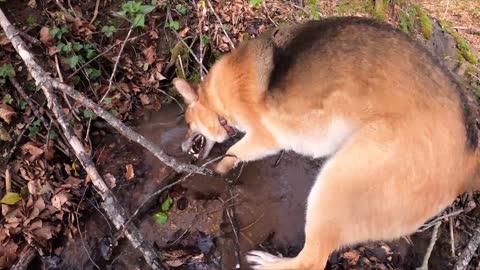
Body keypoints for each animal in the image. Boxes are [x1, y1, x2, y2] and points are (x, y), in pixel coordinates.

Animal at [172, 17, 476, 270]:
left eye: (187, 123)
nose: (182, 147)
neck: (218, 97)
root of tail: (468, 162)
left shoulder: (263, 137)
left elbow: (233, 152)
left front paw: (217, 171)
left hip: (337, 184)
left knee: (311, 261)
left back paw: (271, 262)